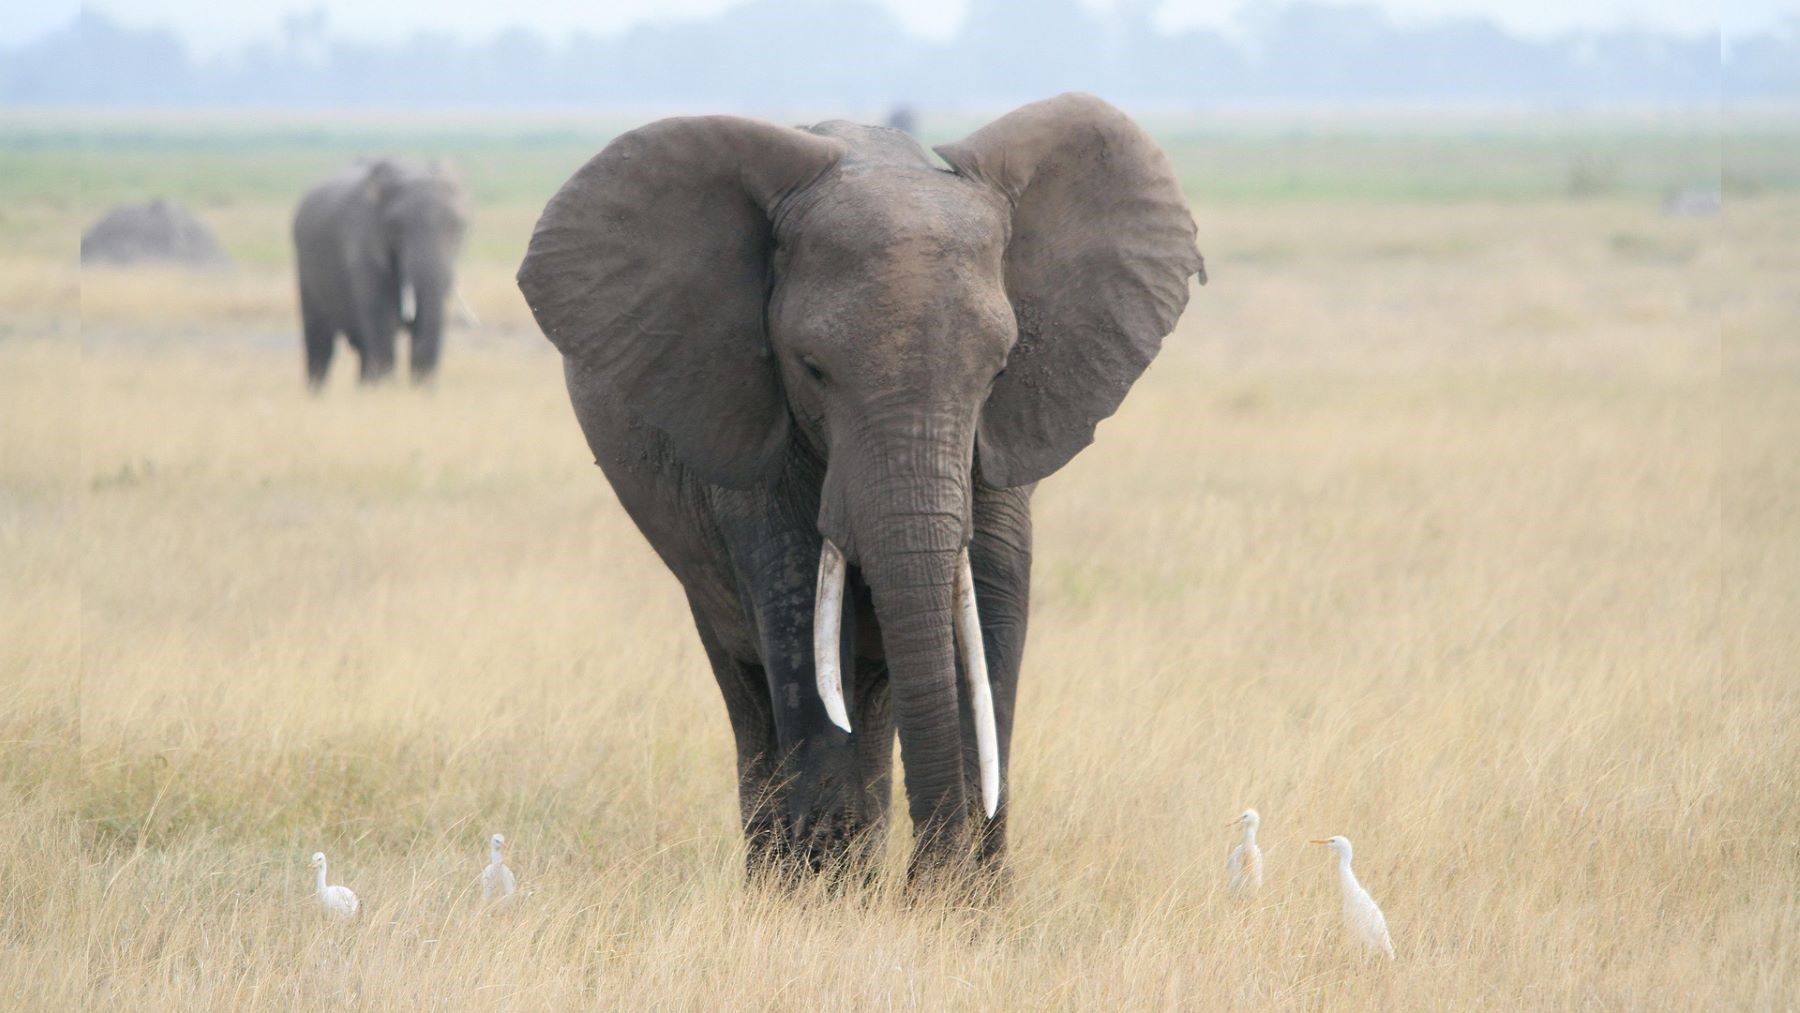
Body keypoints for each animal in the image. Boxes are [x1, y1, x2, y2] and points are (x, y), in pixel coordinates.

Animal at [293, 159, 467, 386]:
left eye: (459, 227)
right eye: (396, 227)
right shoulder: (363, 248)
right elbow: (382, 325)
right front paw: (385, 389)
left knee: (362, 349)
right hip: (305, 271)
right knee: (320, 344)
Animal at [518, 93, 1204, 880]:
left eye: (999, 369)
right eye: (812, 368)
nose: (927, 881)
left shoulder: (1002, 441)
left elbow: (993, 610)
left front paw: (967, 900)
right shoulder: (756, 435)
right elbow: (801, 623)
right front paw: (825, 896)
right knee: (751, 685)